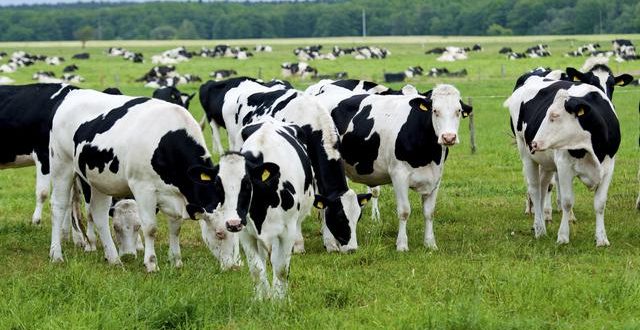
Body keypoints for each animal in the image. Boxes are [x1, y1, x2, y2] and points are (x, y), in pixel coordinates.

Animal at [48, 90, 241, 270]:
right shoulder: (143, 188)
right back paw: (56, 254)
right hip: (62, 165)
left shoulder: (173, 195)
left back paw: (114, 259)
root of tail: (74, 93)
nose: (232, 266)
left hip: (98, 180)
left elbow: (176, 227)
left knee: (99, 214)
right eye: (219, 233)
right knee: (59, 206)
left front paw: (176, 261)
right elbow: (150, 227)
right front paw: (151, 263)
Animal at [194, 118, 316, 300]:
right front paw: (261, 298)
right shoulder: (246, 232)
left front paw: (279, 300)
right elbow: (257, 269)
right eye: (217, 185)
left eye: (247, 184)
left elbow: (281, 268)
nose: (232, 223)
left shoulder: (287, 231)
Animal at [312, 83, 472, 250]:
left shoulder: (436, 177)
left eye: (458, 111)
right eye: (435, 110)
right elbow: (404, 211)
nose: (448, 137)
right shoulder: (399, 174)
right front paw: (402, 245)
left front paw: (430, 244)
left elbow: (429, 212)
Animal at [504, 69, 620, 245]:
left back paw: (541, 222)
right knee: (535, 189)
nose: (534, 143)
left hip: (546, 163)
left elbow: (600, 203)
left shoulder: (608, 167)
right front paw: (563, 236)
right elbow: (567, 201)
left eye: (554, 116)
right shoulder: (564, 166)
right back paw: (540, 229)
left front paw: (601, 239)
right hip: (526, 154)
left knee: (544, 187)